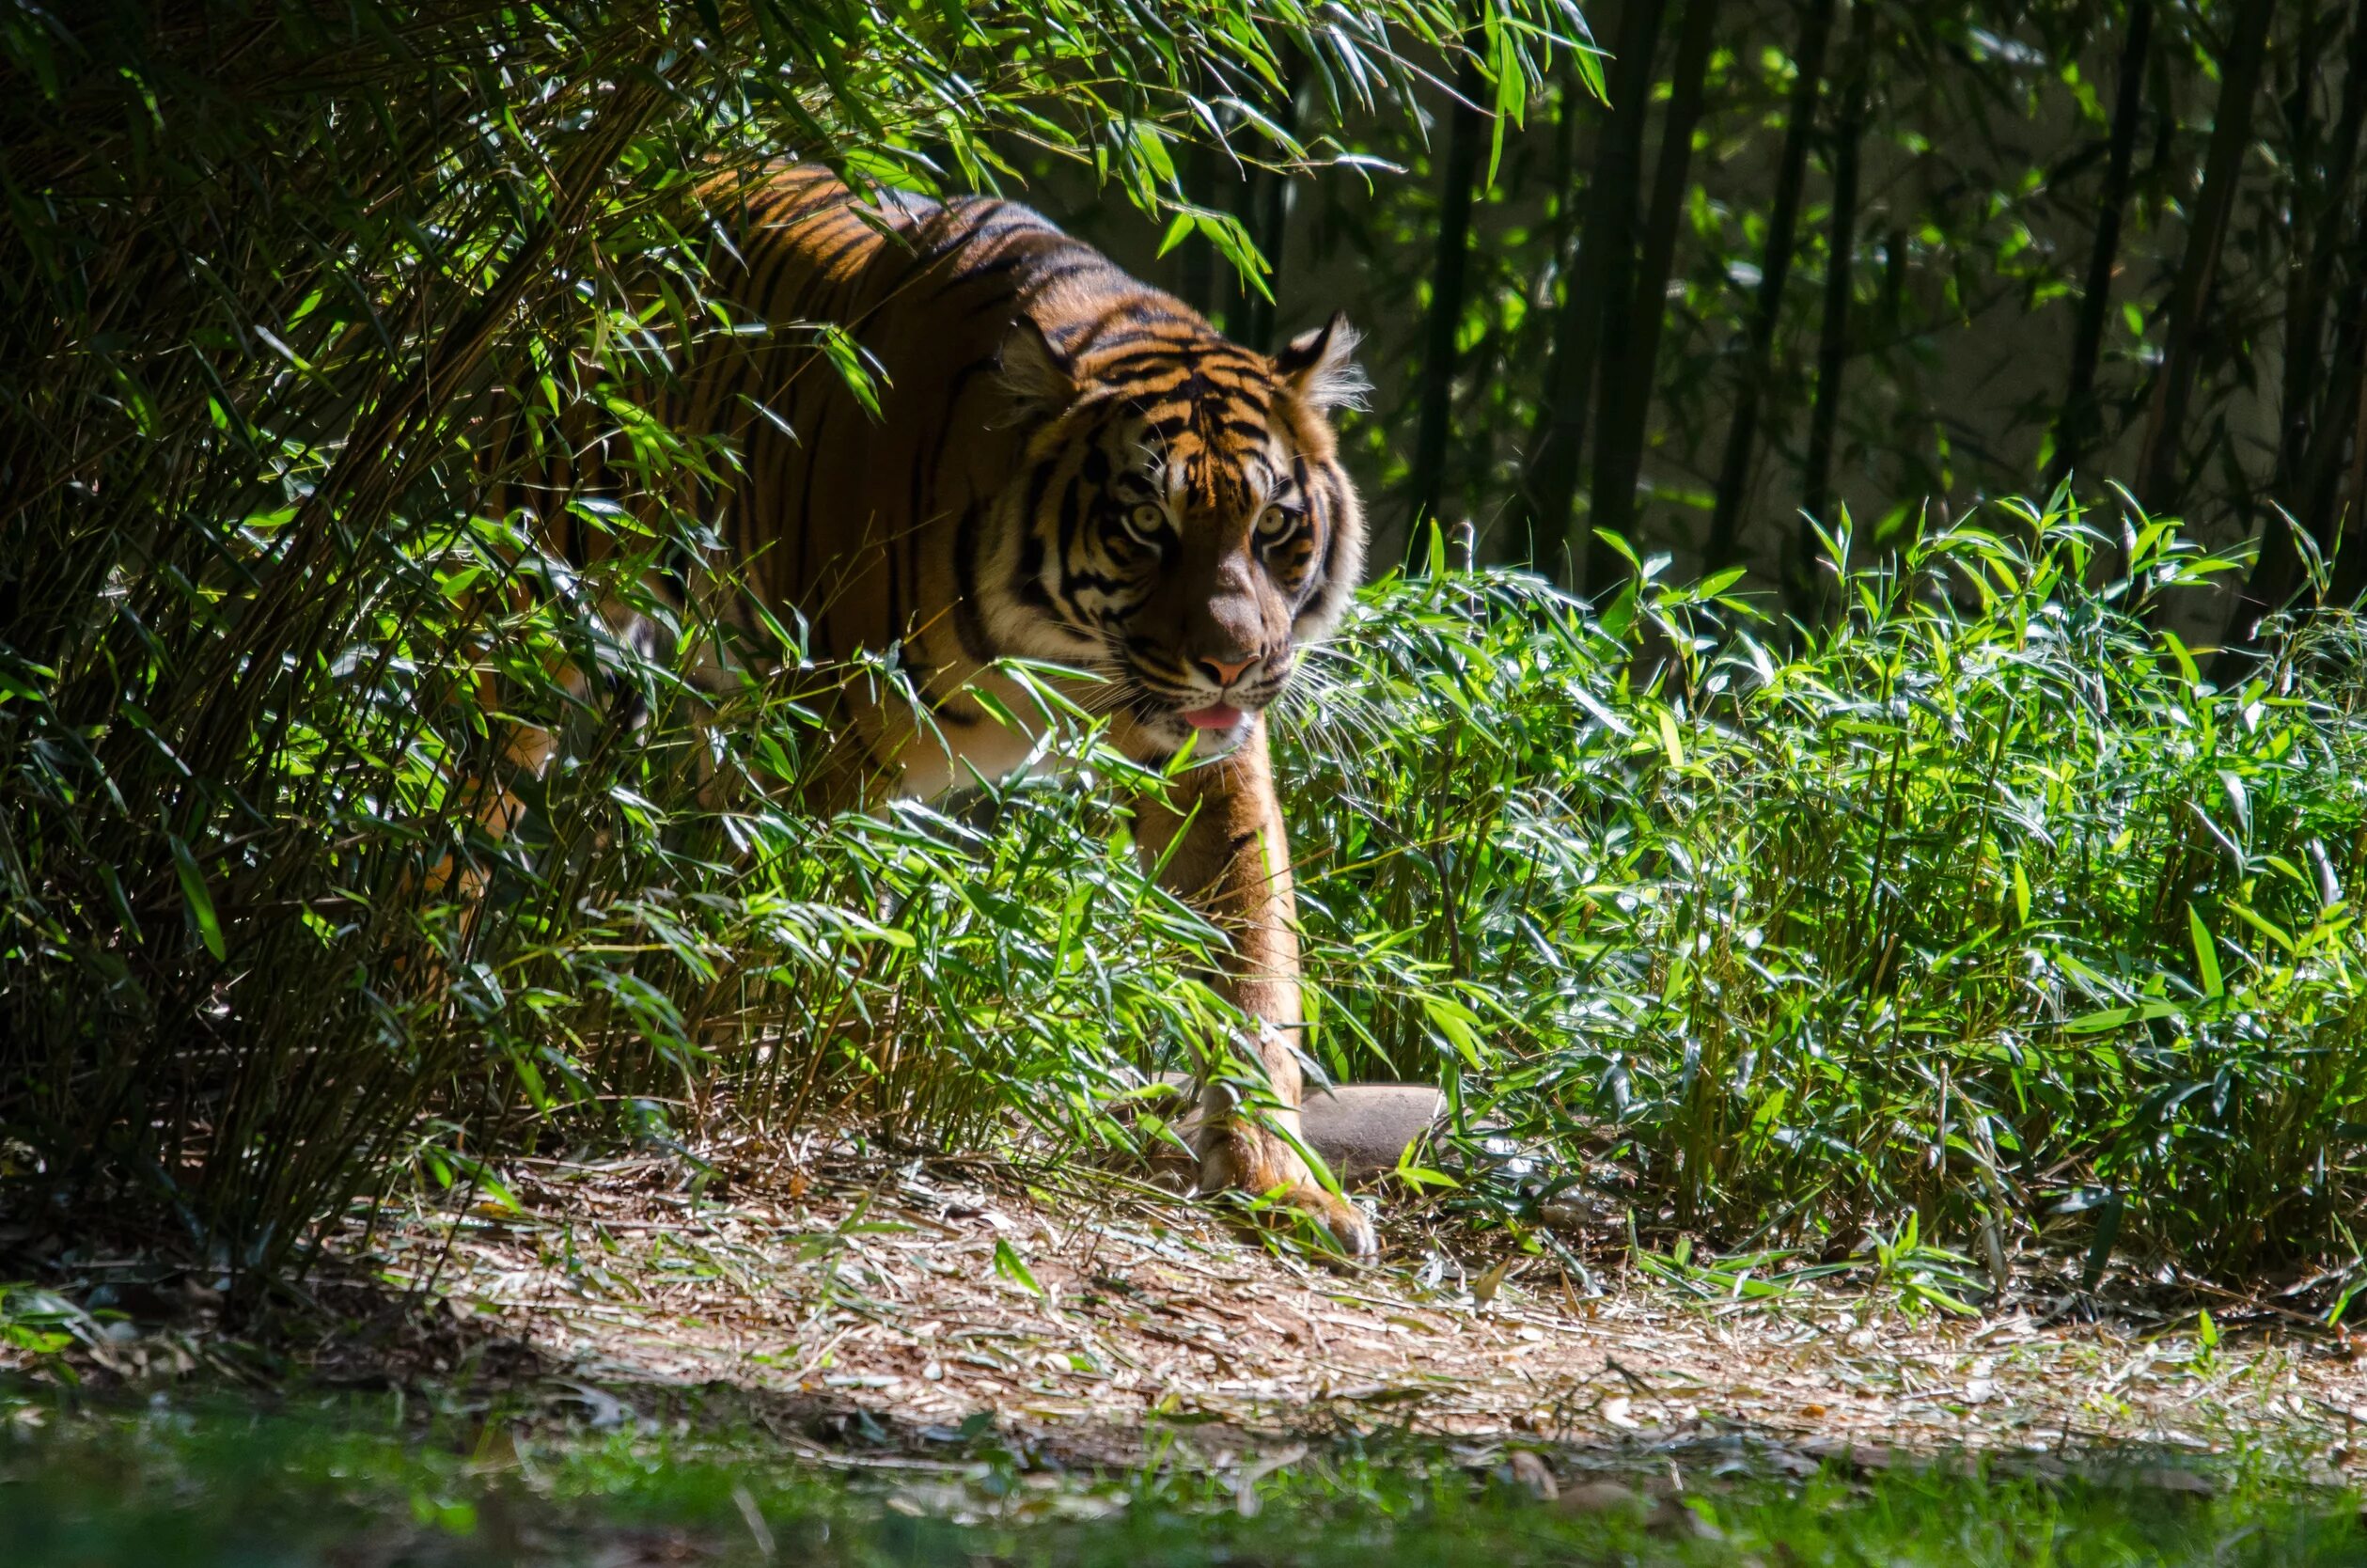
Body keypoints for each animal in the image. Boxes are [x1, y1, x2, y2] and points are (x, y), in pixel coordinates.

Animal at [471, 165, 1382, 1260]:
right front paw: (758, 1093)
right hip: (536, 595)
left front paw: (1277, 1182)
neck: (1067, 656)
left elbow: (1252, 960)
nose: (1233, 664)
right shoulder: (829, 736)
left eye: (1274, 524)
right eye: (1144, 524)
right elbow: (791, 927)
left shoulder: (1202, 763)